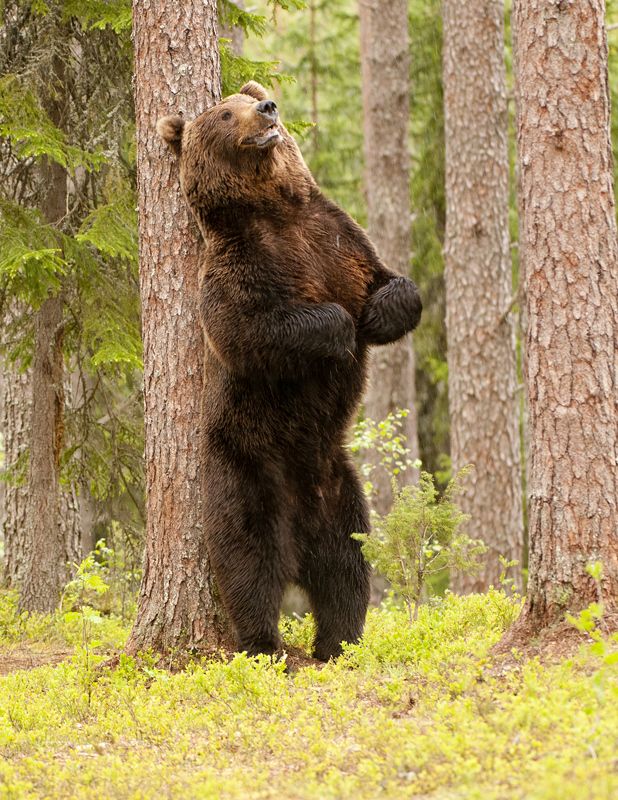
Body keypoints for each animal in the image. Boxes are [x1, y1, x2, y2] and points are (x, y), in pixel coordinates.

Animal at [157, 81, 422, 661]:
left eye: (249, 95)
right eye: (224, 113)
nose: (266, 108)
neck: (274, 209)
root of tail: (301, 542)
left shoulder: (339, 238)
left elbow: (394, 285)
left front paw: (376, 314)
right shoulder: (240, 264)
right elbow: (250, 330)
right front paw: (341, 330)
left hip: (339, 483)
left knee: (348, 566)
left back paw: (339, 642)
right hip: (246, 466)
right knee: (249, 560)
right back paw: (264, 643)